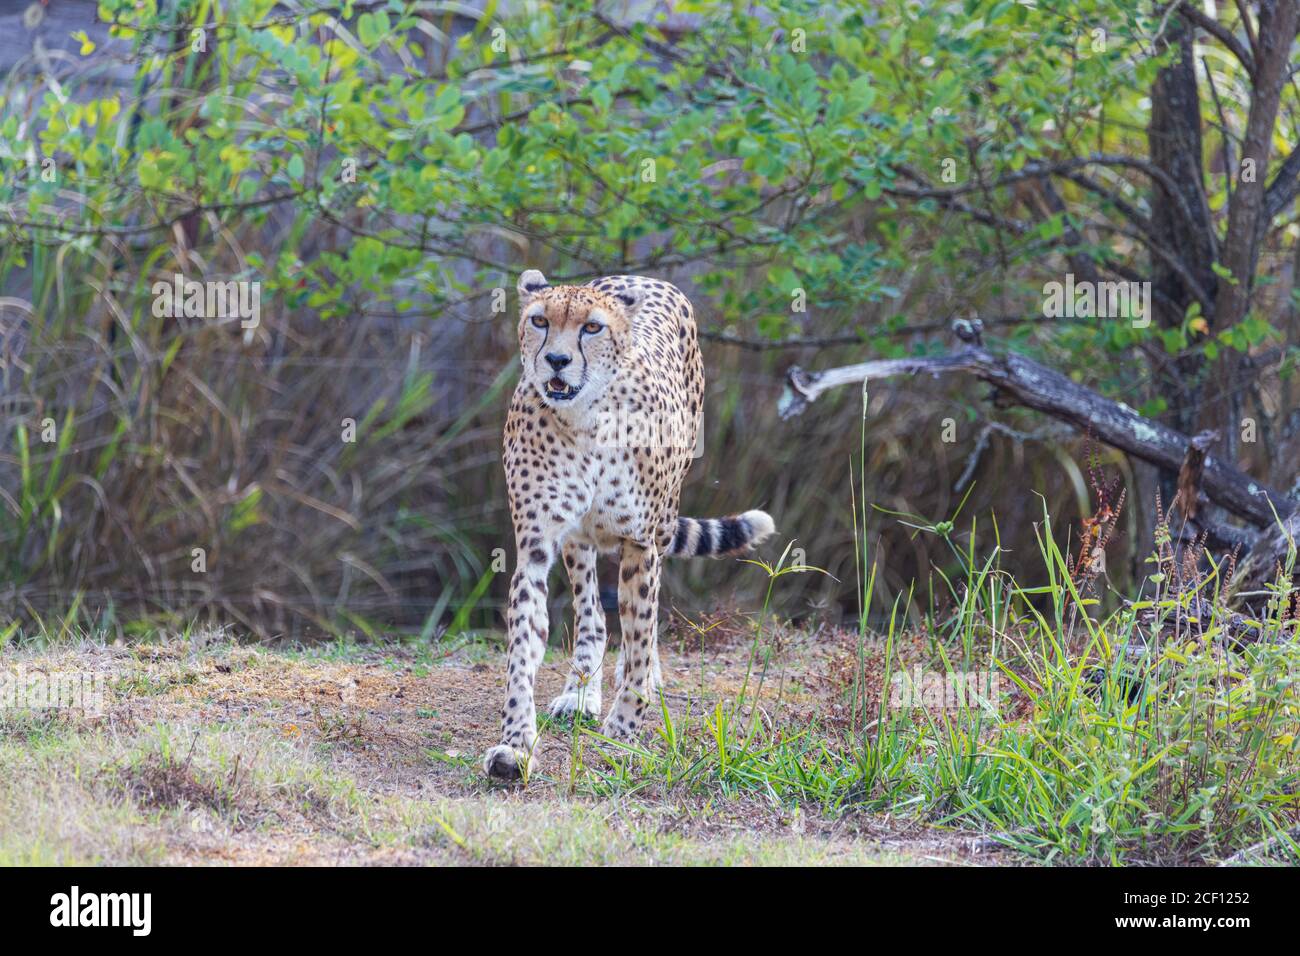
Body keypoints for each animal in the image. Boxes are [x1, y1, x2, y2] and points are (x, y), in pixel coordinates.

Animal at [486, 267, 769, 780]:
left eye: (592, 327)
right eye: (539, 320)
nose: (556, 360)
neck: (585, 420)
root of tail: (639, 276)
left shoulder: (640, 542)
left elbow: (638, 635)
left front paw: (623, 730)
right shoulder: (536, 545)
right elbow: (523, 648)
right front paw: (514, 744)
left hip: (663, 517)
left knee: (645, 620)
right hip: (578, 541)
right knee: (593, 614)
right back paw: (580, 692)